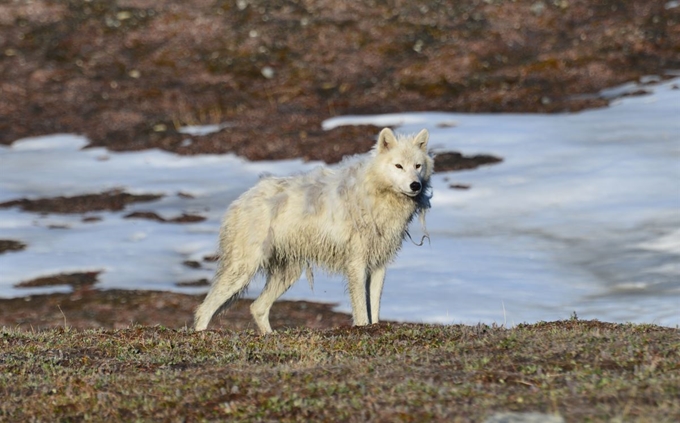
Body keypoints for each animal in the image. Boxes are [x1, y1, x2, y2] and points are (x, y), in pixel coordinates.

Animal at [194, 127, 432, 332]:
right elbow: (362, 312)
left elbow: (374, 307)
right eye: (398, 166)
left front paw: (374, 329)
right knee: (204, 309)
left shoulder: (379, 265)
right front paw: (363, 329)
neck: (377, 195)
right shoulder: (356, 265)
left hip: (288, 273)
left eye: (417, 166)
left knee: (257, 307)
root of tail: (241, 200)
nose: (415, 186)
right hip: (244, 269)